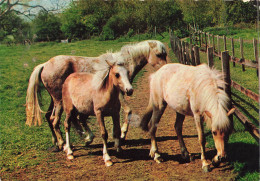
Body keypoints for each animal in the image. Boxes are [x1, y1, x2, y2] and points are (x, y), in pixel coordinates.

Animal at [25, 39, 167, 150]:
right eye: (159, 54)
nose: (167, 68)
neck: (123, 64)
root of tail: (45, 65)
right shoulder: (121, 94)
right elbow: (128, 111)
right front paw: (122, 134)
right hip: (59, 100)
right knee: (55, 119)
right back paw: (64, 143)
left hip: (56, 100)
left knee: (52, 118)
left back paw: (66, 141)